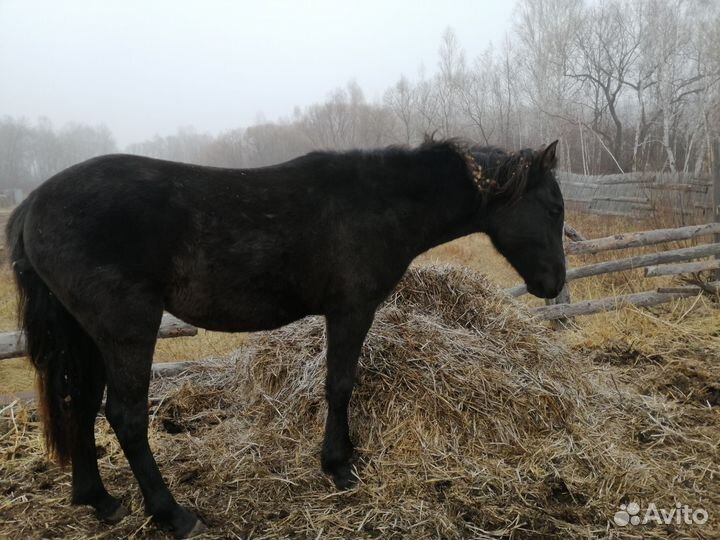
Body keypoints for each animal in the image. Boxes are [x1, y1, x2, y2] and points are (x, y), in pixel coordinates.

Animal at [6, 137, 565, 538]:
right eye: (554, 209)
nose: (554, 283)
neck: (378, 203)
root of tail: (33, 203)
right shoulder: (350, 310)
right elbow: (340, 384)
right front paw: (339, 466)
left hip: (86, 336)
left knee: (78, 405)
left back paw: (99, 500)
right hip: (127, 332)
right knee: (124, 417)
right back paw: (173, 515)